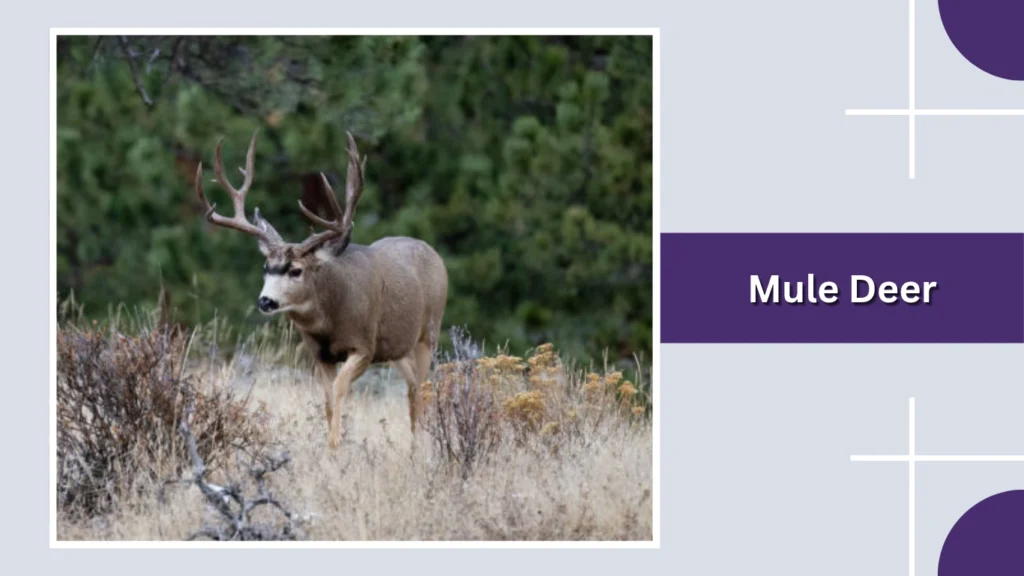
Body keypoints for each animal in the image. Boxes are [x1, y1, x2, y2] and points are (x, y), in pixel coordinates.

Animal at [193, 129, 448, 448]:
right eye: (266, 267)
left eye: (296, 270)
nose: (265, 301)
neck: (330, 321)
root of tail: (435, 255)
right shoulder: (319, 353)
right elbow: (327, 398)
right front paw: (331, 445)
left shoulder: (365, 345)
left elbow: (339, 389)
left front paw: (334, 445)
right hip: (397, 349)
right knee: (412, 387)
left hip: (428, 334)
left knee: (422, 388)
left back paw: (419, 446)